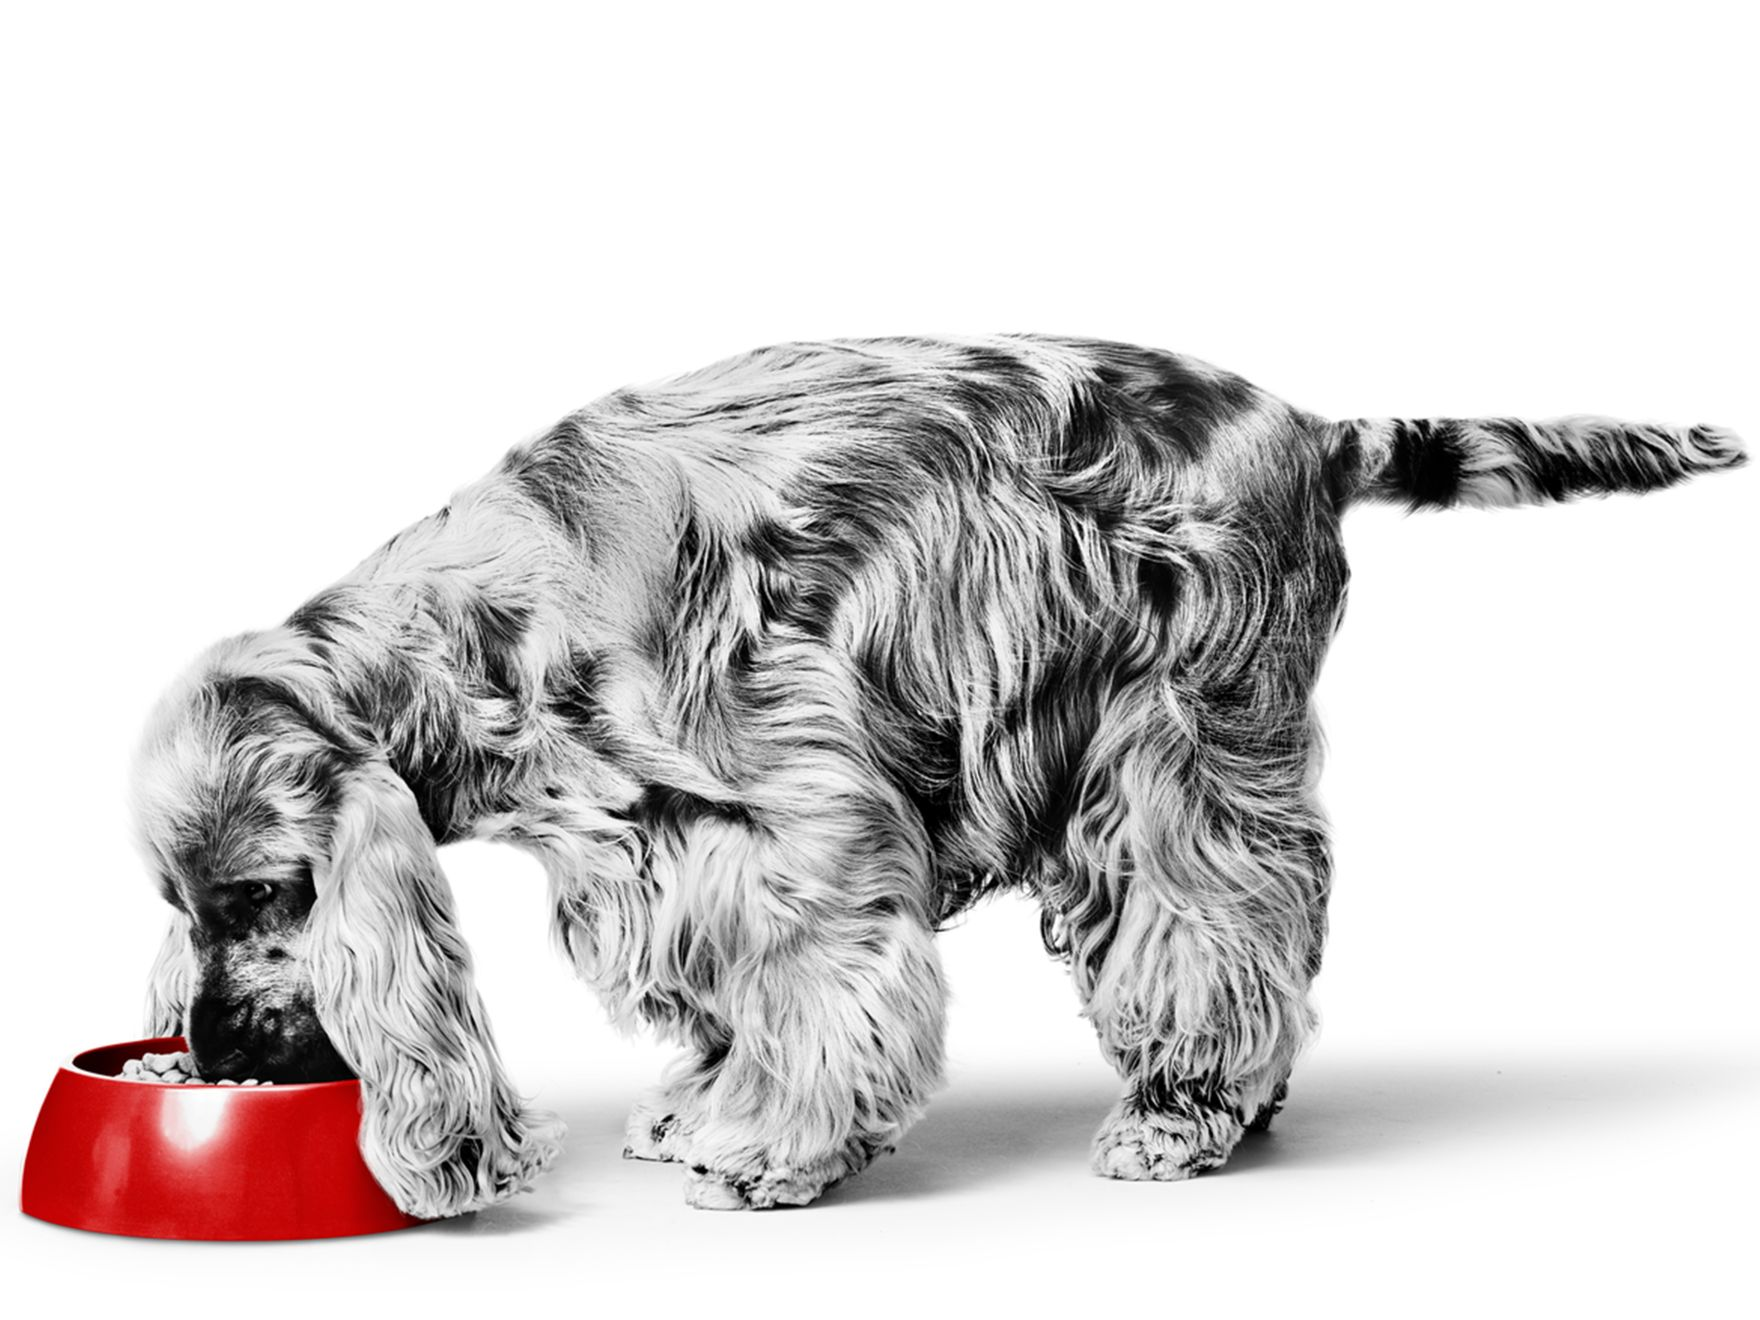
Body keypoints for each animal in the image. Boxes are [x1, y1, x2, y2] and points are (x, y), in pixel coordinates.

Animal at [127, 336, 1745, 1217]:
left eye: (267, 895)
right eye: (179, 908)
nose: (207, 1056)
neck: (485, 632)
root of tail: (1309, 427)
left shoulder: (803, 813)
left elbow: (818, 991)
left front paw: (769, 1151)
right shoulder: (660, 844)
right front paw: (697, 1105)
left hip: (1175, 744)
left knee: (1225, 926)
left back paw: (1183, 1111)